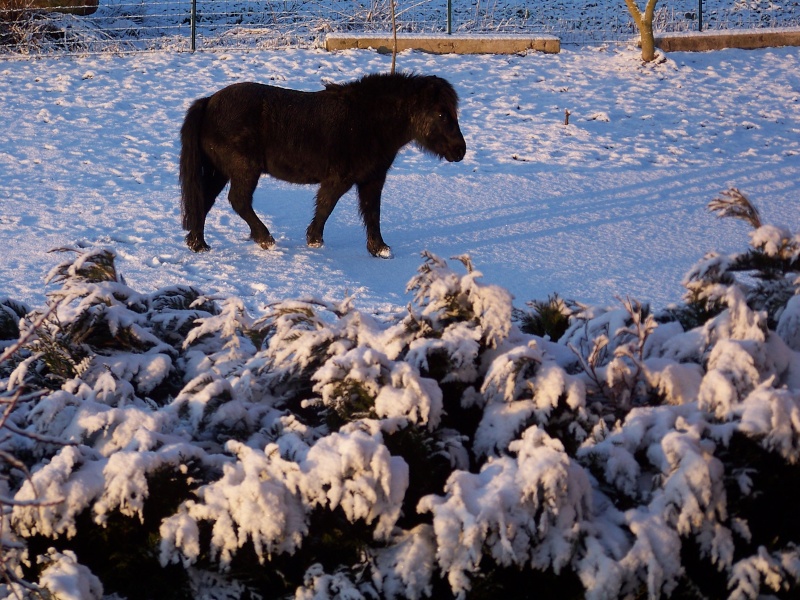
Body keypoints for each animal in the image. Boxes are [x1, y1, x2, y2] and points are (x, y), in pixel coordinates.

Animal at [178, 71, 466, 256]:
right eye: (442, 114)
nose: (460, 150)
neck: (367, 121)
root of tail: (209, 102)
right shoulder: (339, 179)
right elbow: (326, 206)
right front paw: (315, 240)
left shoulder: (372, 180)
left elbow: (372, 213)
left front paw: (379, 249)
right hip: (244, 170)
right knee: (238, 201)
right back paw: (265, 239)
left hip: (219, 172)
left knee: (203, 200)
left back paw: (198, 244)